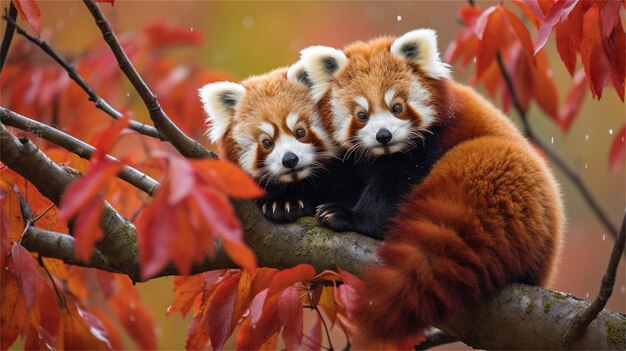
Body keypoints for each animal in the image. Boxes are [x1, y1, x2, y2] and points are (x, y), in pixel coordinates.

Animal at [298, 28, 560, 346]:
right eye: (361, 115)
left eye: (397, 107)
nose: (383, 135)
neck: (386, 154)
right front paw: (288, 202)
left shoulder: (428, 146)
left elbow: (393, 189)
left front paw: (349, 216)